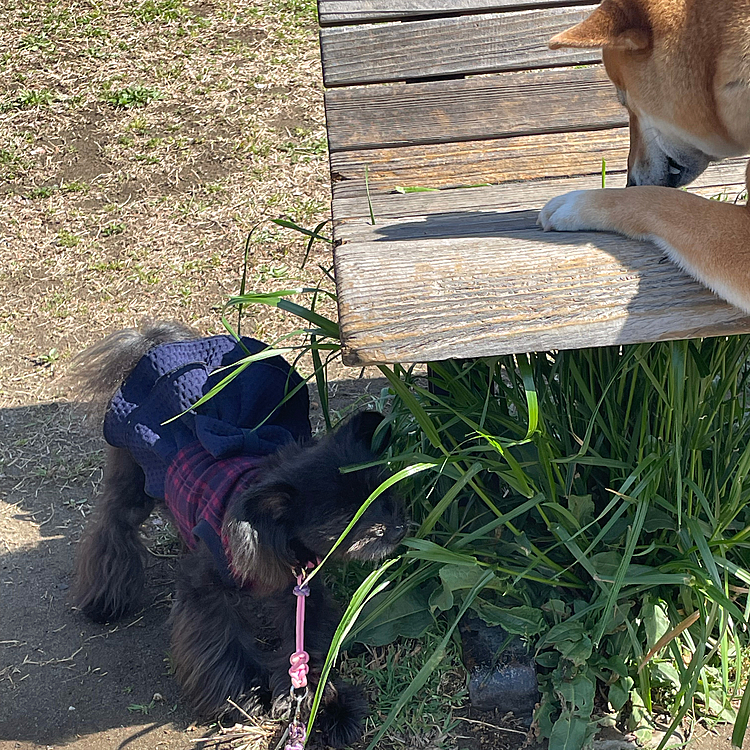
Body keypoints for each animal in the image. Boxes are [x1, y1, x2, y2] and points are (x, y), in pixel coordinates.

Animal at [72, 322, 406, 748]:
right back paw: (104, 599)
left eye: (386, 496)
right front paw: (241, 698)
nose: (399, 529)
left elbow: (306, 650)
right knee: (112, 526)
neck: (269, 536)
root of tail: (156, 346)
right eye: (347, 519)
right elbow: (219, 643)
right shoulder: (206, 593)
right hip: (132, 479)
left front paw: (325, 707)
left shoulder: (298, 592)